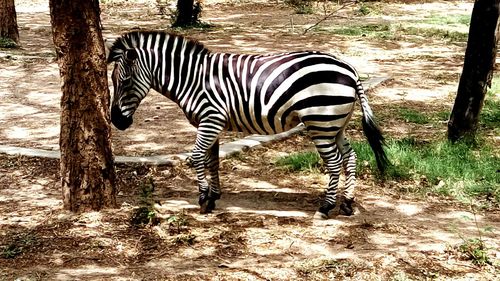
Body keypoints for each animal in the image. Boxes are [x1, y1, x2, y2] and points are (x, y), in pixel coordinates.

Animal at [108, 31, 390, 219]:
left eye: (124, 82)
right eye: (114, 81)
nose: (117, 122)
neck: (192, 78)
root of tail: (350, 70)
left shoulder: (211, 119)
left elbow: (197, 157)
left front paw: (203, 199)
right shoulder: (212, 123)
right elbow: (212, 160)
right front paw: (214, 195)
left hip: (320, 122)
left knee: (334, 162)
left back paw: (326, 207)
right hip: (335, 124)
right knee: (350, 157)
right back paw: (348, 203)